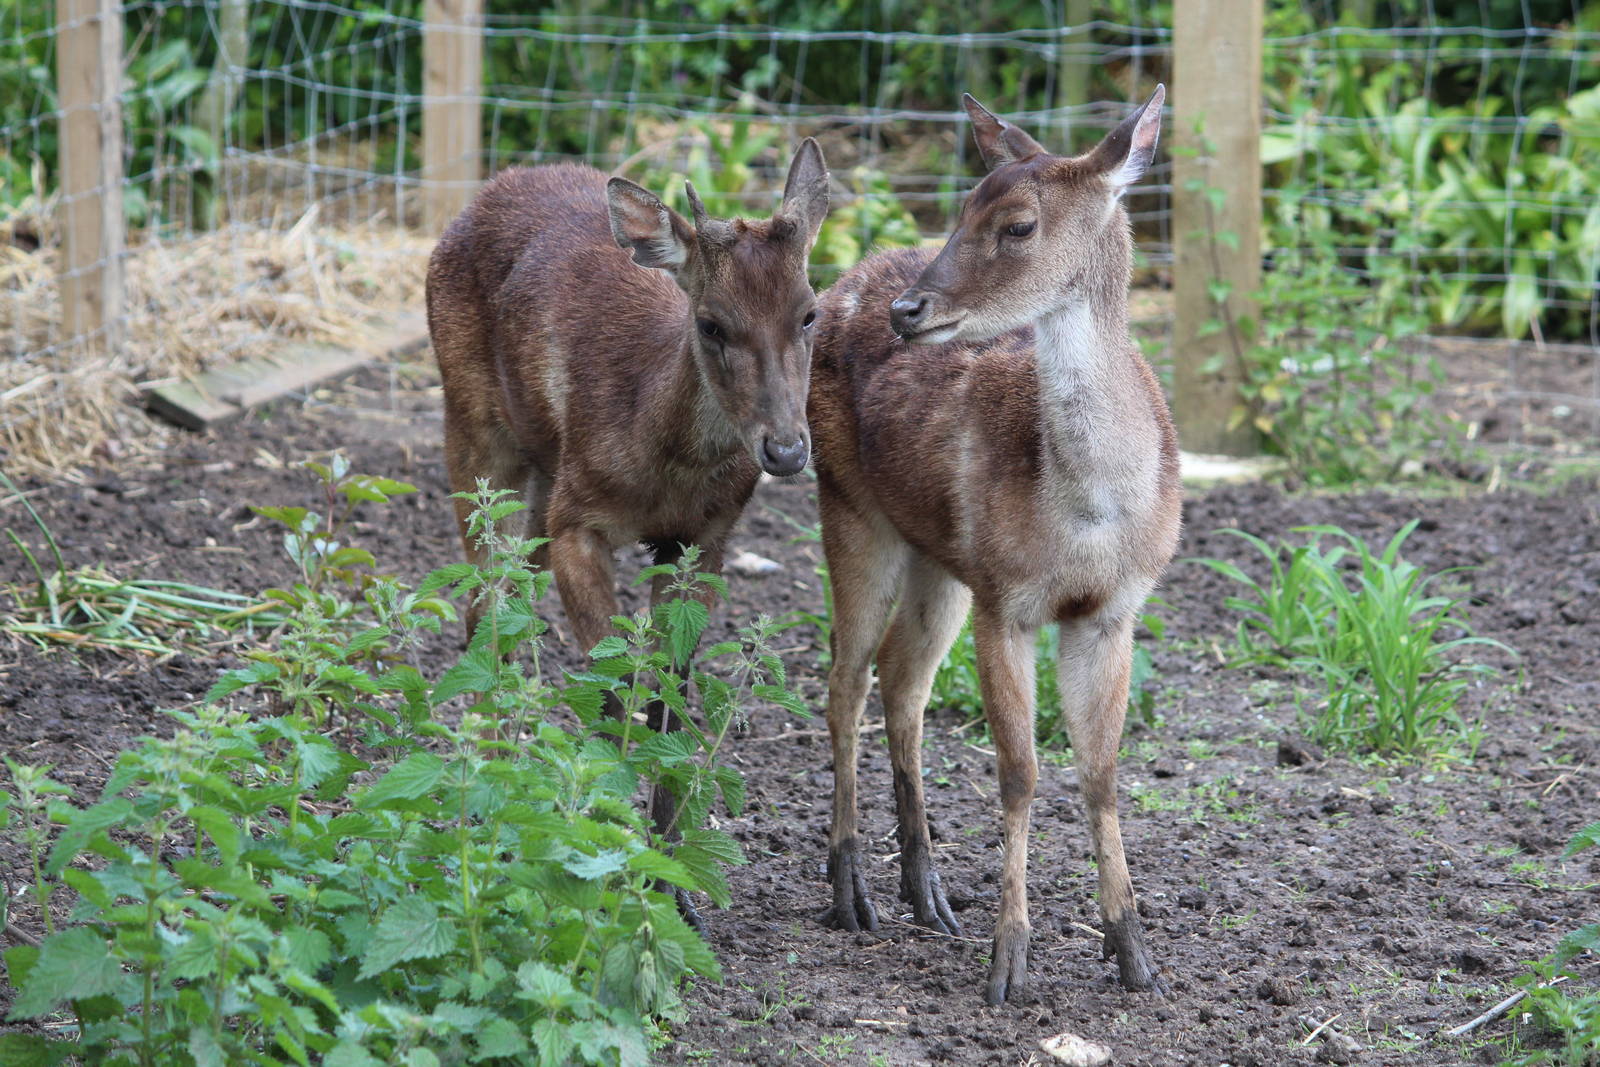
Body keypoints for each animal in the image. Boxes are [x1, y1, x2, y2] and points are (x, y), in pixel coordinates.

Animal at [427, 144, 830, 906]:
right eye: (712, 322)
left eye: (810, 313)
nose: (787, 449)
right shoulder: (579, 522)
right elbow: (616, 690)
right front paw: (609, 836)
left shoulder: (703, 541)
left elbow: (670, 697)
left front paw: (673, 878)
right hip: (472, 426)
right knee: (483, 598)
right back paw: (487, 777)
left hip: (542, 475)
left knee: (506, 592)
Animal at [807, 86, 1177, 1004]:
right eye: (961, 207)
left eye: (1017, 225)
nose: (908, 310)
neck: (1089, 517)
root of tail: (840, 282)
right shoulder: (1006, 598)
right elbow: (1019, 769)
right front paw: (1010, 960)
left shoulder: (1113, 611)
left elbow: (1101, 771)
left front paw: (1134, 953)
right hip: (849, 506)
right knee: (845, 679)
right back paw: (852, 889)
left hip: (940, 554)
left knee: (902, 679)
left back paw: (928, 891)